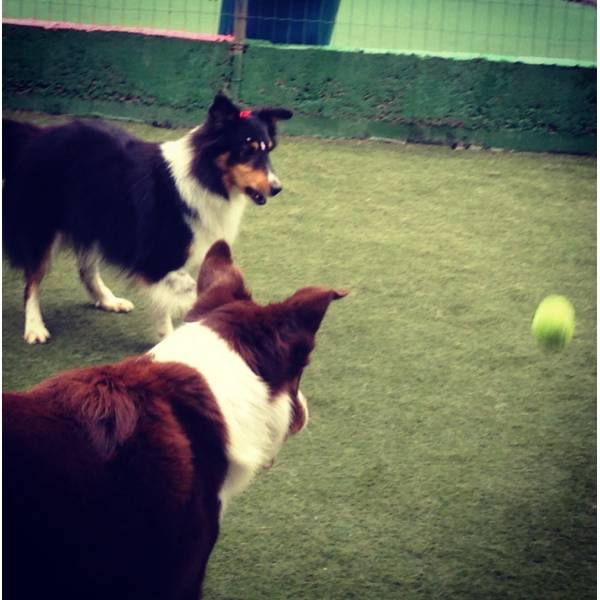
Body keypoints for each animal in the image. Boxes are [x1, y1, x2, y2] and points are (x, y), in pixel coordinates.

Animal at [2, 96, 292, 344]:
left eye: (268, 150)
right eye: (246, 150)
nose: (277, 188)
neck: (205, 176)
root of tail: (38, 135)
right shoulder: (156, 261)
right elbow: (184, 294)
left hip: (97, 221)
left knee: (86, 269)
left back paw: (107, 300)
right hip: (43, 229)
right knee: (32, 281)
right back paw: (35, 328)